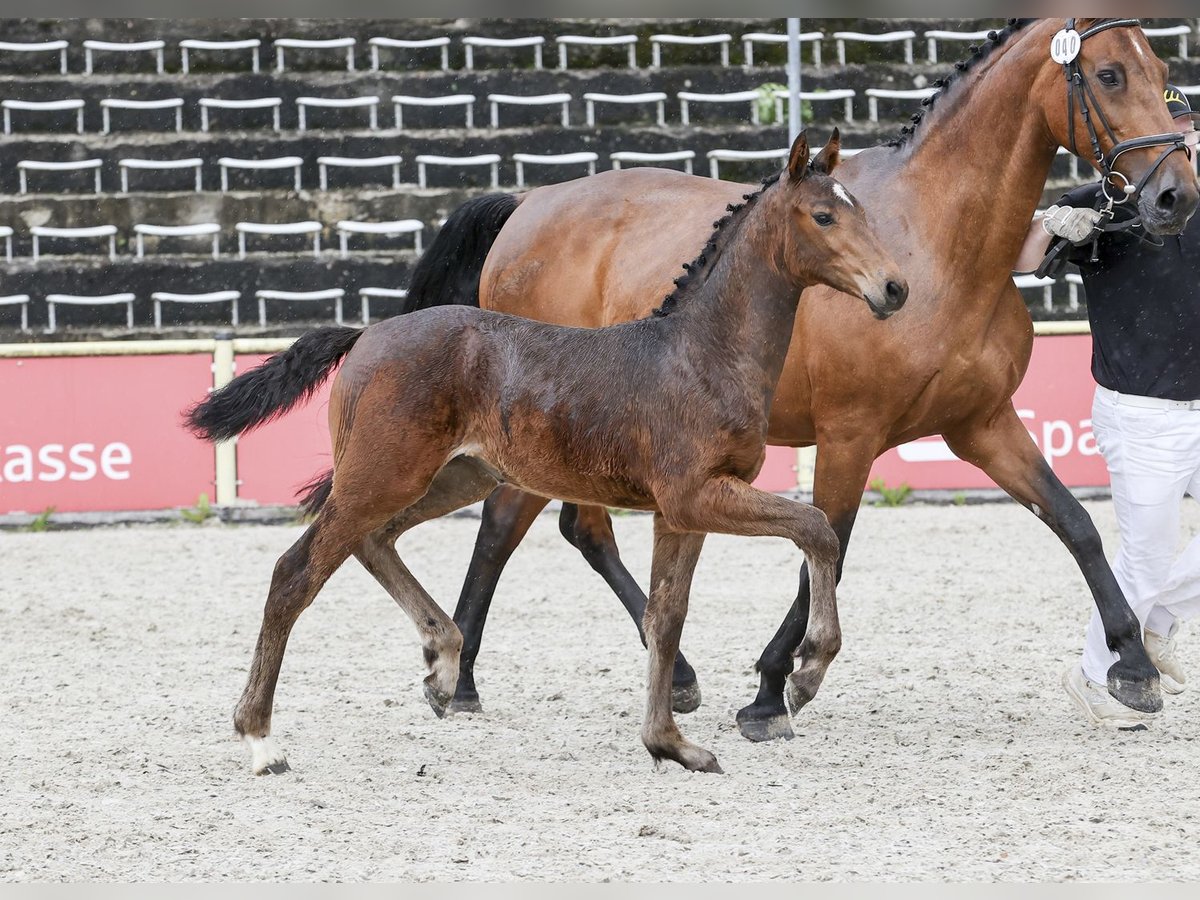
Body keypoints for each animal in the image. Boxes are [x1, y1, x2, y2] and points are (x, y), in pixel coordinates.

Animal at [187, 132, 902, 777]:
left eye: (864, 212)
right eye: (824, 215)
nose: (895, 288)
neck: (701, 352)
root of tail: (366, 334)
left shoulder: (682, 511)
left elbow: (666, 614)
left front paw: (671, 744)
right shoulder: (698, 495)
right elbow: (815, 528)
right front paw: (806, 672)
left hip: (453, 477)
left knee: (374, 541)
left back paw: (443, 663)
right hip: (383, 474)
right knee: (296, 573)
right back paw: (262, 740)